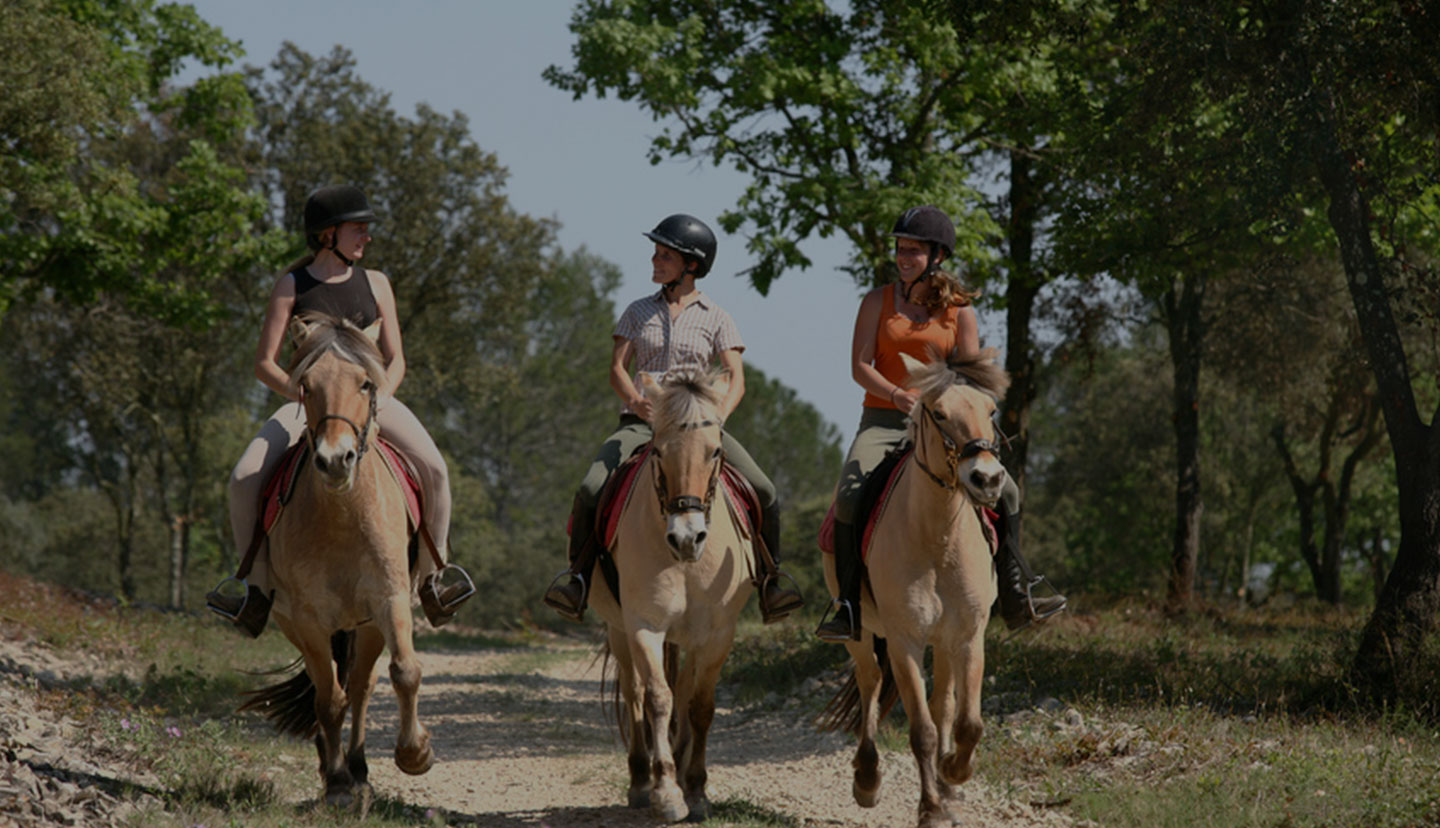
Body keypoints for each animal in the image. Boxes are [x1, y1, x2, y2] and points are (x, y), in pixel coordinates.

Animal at [239, 313, 432, 812]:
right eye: (305, 386)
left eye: (365, 383)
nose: (334, 460)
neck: (342, 516)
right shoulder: (307, 620)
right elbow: (328, 699)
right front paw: (339, 785)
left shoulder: (389, 600)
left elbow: (404, 672)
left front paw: (414, 754)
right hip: (301, 625)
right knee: (332, 690)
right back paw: (337, 773)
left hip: (365, 626)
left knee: (362, 688)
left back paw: (361, 770)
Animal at [590, 368, 760, 823]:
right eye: (658, 452)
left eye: (716, 451)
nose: (686, 538)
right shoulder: (644, 626)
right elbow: (657, 698)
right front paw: (666, 791)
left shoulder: (718, 633)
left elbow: (699, 705)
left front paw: (696, 788)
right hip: (619, 630)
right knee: (633, 692)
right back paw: (640, 780)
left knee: (683, 689)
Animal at [823, 348, 1013, 828]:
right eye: (939, 413)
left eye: (991, 410)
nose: (987, 479)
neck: (938, 537)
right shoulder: (904, 640)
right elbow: (922, 731)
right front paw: (929, 808)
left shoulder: (968, 636)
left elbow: (966, 723)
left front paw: (953, 775)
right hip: (862, 635)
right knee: (870, 682)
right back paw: (867, 777)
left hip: (942, 642)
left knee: (943, 700)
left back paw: (946, 785)